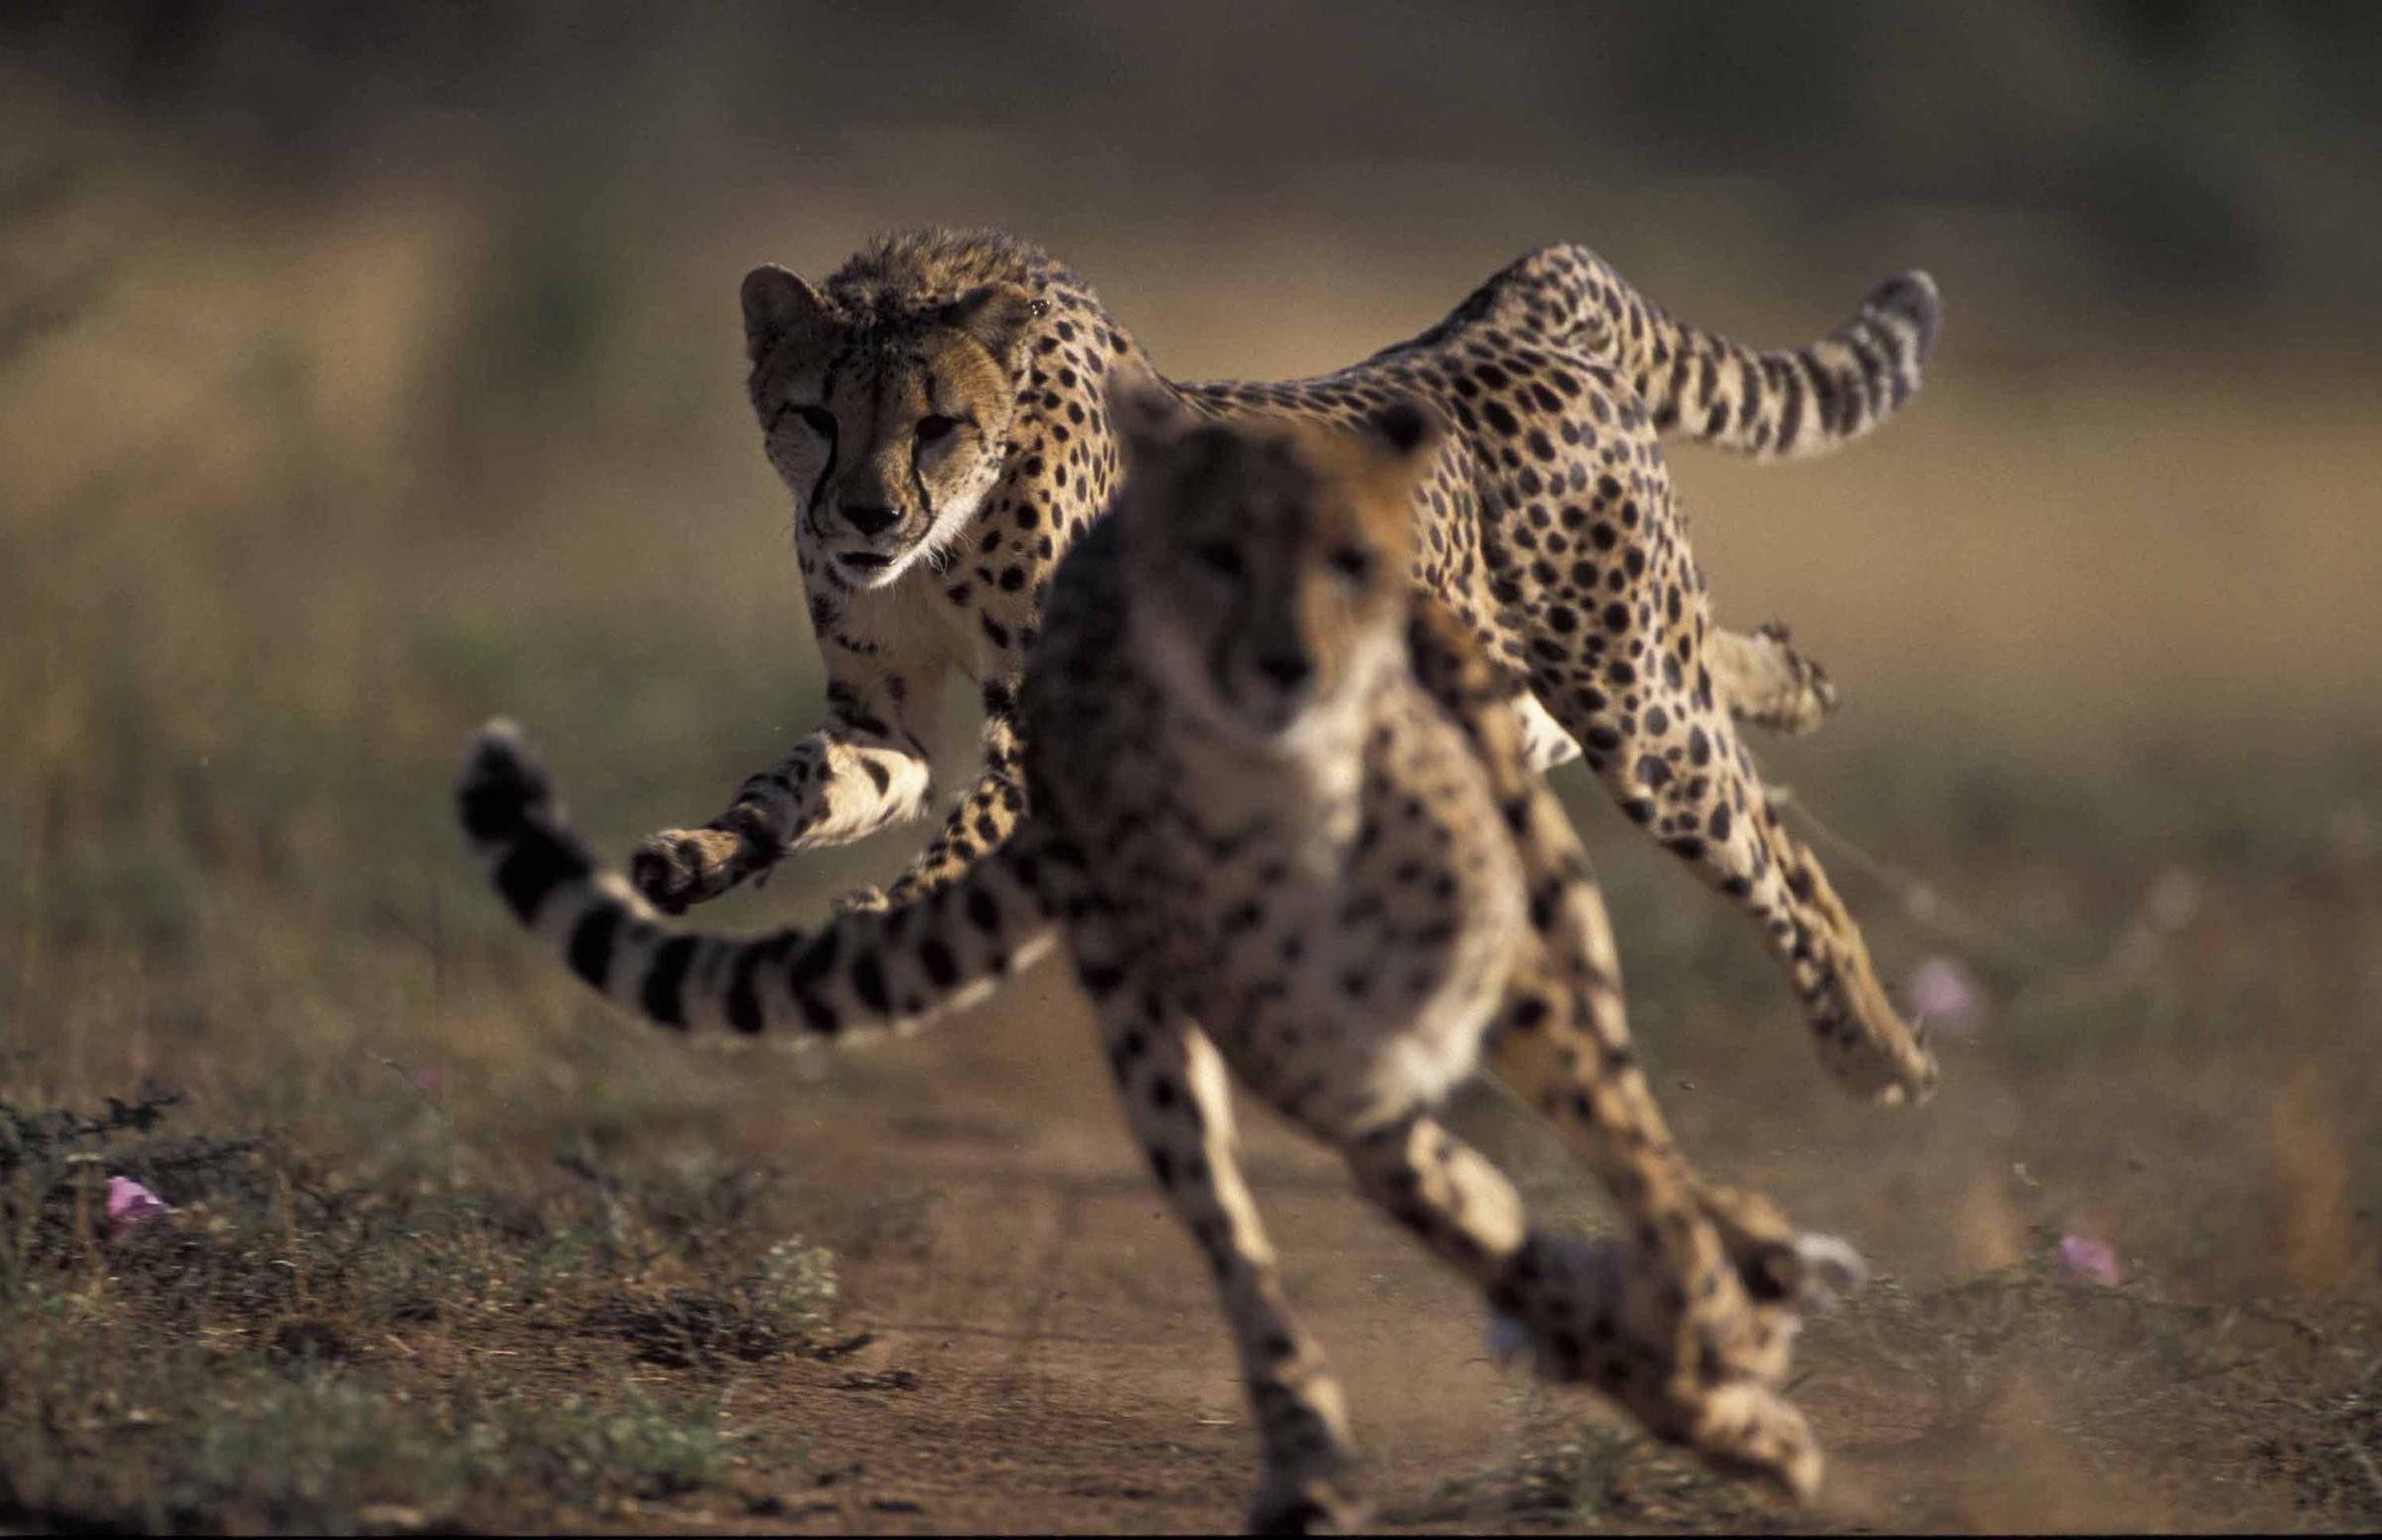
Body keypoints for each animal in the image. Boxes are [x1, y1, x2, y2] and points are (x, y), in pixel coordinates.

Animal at [464, 395, 1867, 1532]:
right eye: (1213, 567)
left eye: (1335, 568)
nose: (1282, 669)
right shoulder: (1348, 1102)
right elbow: (1478, 1242)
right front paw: (1716, 1396)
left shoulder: (1512, 996)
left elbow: (1633, 1175)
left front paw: (1720, 1330)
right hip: (1166, 1047)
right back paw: (1322, 1449)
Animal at [628, 225, 1933, 1108]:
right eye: (815, 415)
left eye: (936, 424)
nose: (865, 514)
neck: (943, 540)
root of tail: (1509, 311)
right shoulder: (881, 714)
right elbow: (799, 790)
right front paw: (694, 855)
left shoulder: (1046, 717)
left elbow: (958, 838)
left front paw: (887, 913)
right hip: (1554, 686)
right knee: (1707, 678)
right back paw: (1789, 680)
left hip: (1640, 719)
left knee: (1779, 860)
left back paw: (1877, 1046)